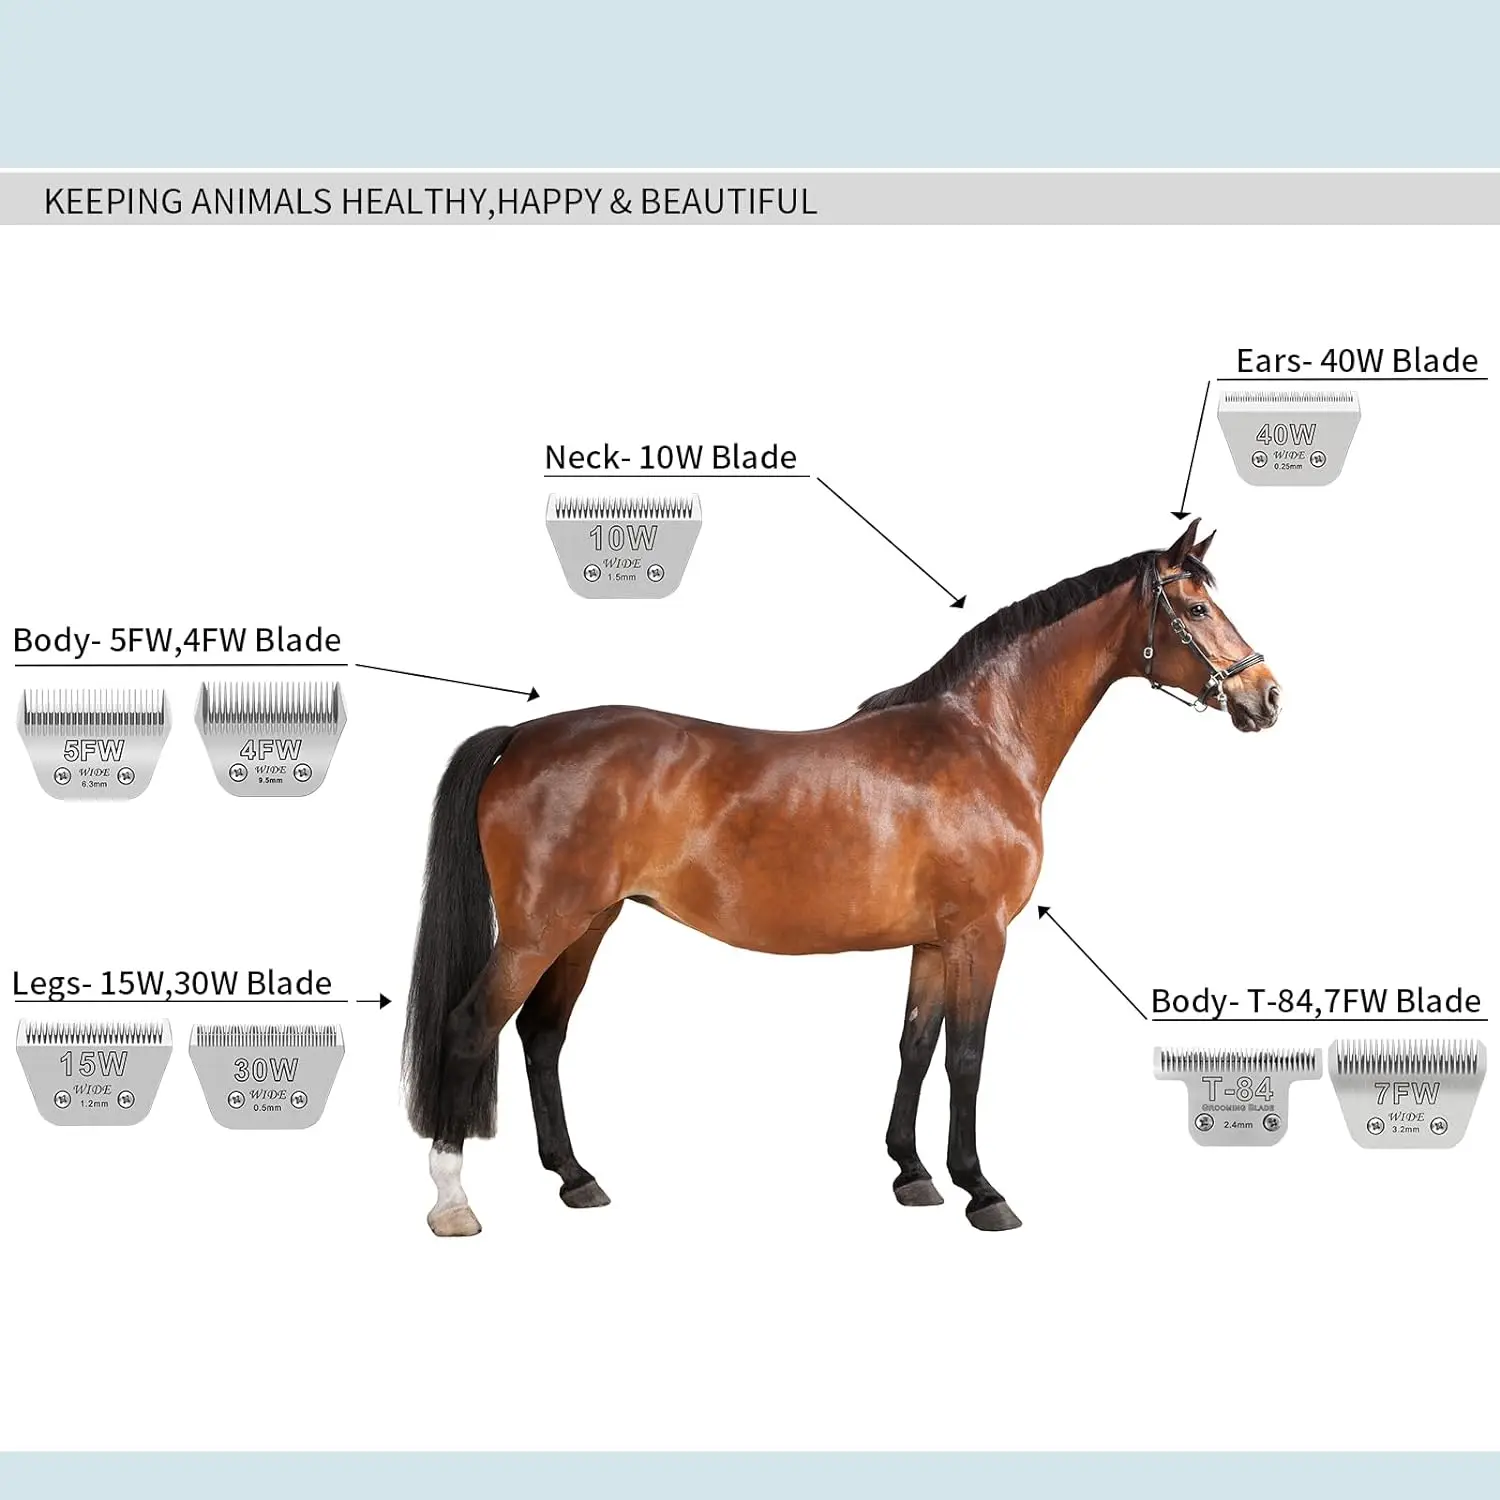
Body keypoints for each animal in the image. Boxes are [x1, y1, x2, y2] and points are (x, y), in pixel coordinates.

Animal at [403, 519, 1279, 1236]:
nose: (1266, 696)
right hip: (538, 929)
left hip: (588, 923)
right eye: (1195, 608)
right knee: (472, 1025)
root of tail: (522, 735)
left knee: (542, 1035)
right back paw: (453, 1202)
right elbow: (967, 1057)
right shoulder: (981, 937)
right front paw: (982, 1190)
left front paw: (913, 1174)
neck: (984, 738)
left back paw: (576, 1178)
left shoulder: (933, 942)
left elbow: (915, 1046)